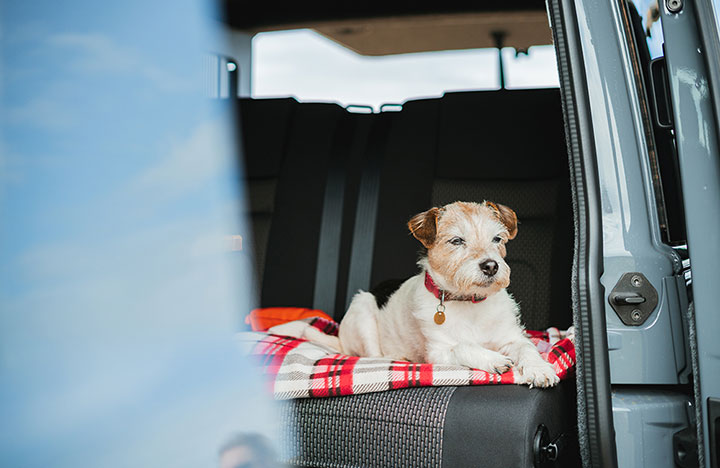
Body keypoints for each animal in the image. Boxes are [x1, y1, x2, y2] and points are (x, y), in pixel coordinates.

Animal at [338, 201, 564, 388]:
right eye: (456, 241)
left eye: (497, 238)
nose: (491, 266)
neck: (470, 302)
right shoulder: (438, 352)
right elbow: (463, 346)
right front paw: (495, 359)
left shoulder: (511, 338)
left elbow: (527, 348)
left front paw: (539, 369)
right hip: (362, 312)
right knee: (374, 354)